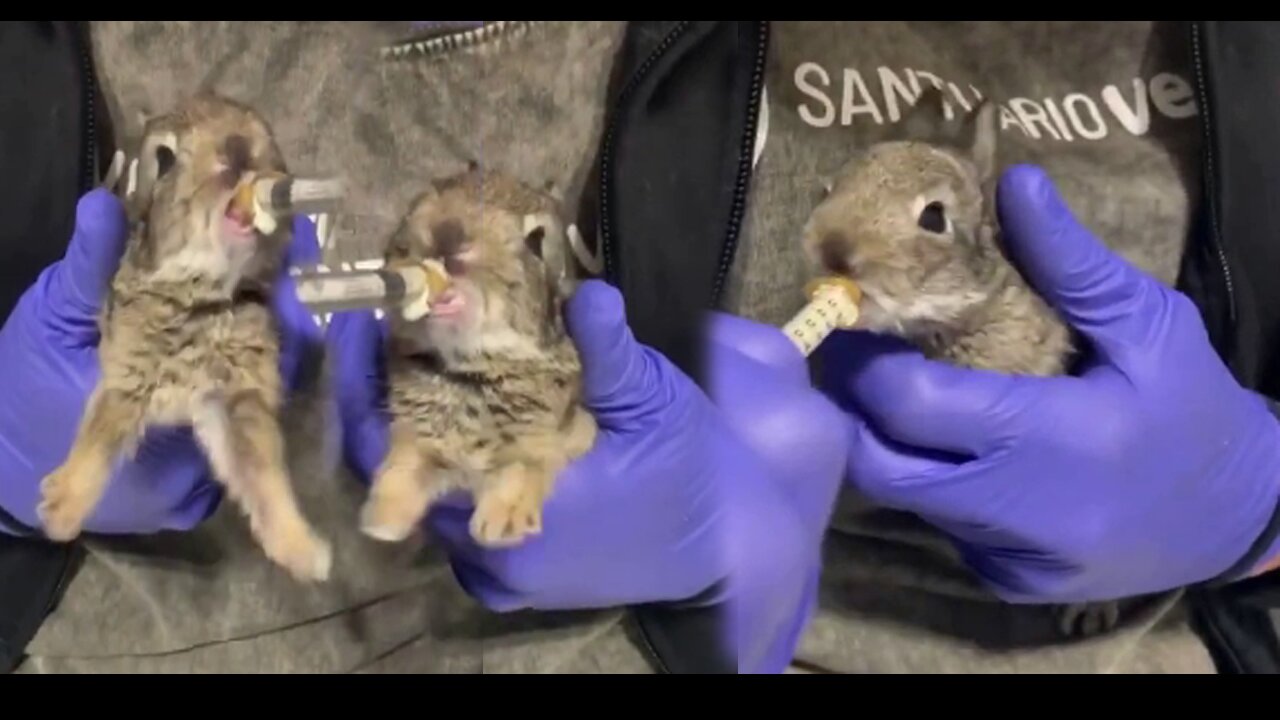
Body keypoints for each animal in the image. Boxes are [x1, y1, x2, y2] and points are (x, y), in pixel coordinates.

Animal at [41, 92, 335, 579]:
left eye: (260, 130)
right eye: (164, 160)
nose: (237, 150)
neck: (205, 296)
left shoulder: (236, 399)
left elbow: (263, 475)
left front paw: (307, 555)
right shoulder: (128, 376)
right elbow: (101, 437)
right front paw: (58, 513)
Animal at [358, 163, 596, 543]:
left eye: (536, 241)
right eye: (435, 191)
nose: (448, 233)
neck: (471, 366)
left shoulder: (546, 438)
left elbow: (523, 466)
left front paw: (500, 527)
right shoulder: (419, 435)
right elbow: (407, 463)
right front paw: (382, 521)